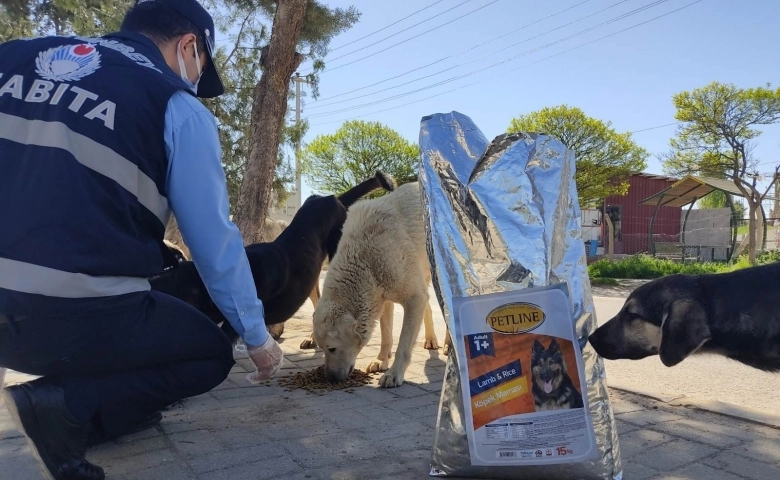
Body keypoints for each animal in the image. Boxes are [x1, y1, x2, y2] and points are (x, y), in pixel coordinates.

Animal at [312, 182, 444, 388]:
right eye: (322, 349)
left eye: (332, 348)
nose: (331, 378)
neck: (363, 259)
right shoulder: (381, 296)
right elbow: (386, 334)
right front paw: (381, 360)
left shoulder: (413, 297)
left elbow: (404, 344)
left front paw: (394, 374)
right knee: (429, 306)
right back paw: (431, 339)